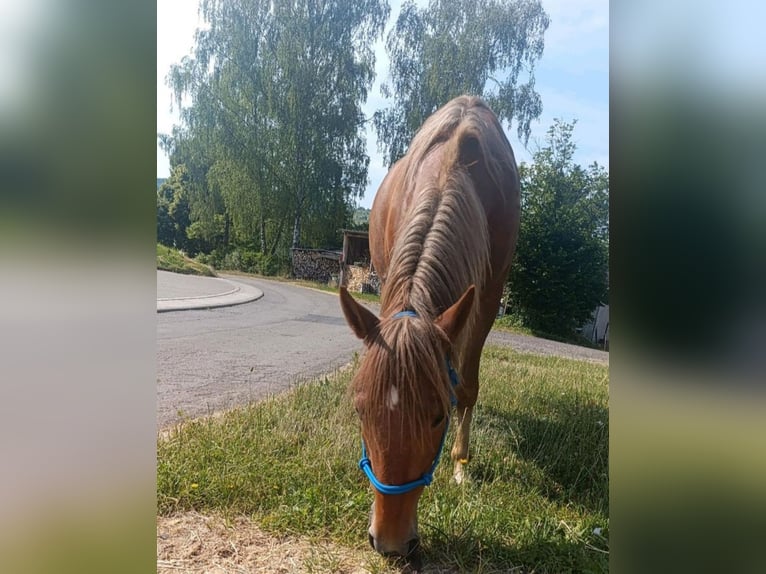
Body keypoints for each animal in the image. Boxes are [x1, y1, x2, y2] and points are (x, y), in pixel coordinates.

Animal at [339, 95, 520, 557]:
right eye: (359, 410)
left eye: (438, 416)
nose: (389, 542)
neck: (448, 171)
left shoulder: (488, 296)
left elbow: (467, 386)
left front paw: (460, 466)